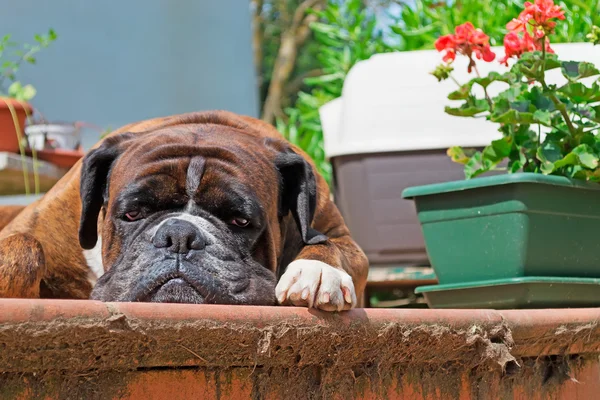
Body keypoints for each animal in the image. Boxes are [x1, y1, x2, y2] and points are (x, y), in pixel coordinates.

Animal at [0, 111, 368, 310]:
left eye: (240, 220)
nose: (179, 236)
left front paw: (317, 273)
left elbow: (329, 245)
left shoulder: (340, 235)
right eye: (132, 213)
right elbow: (24, 248)